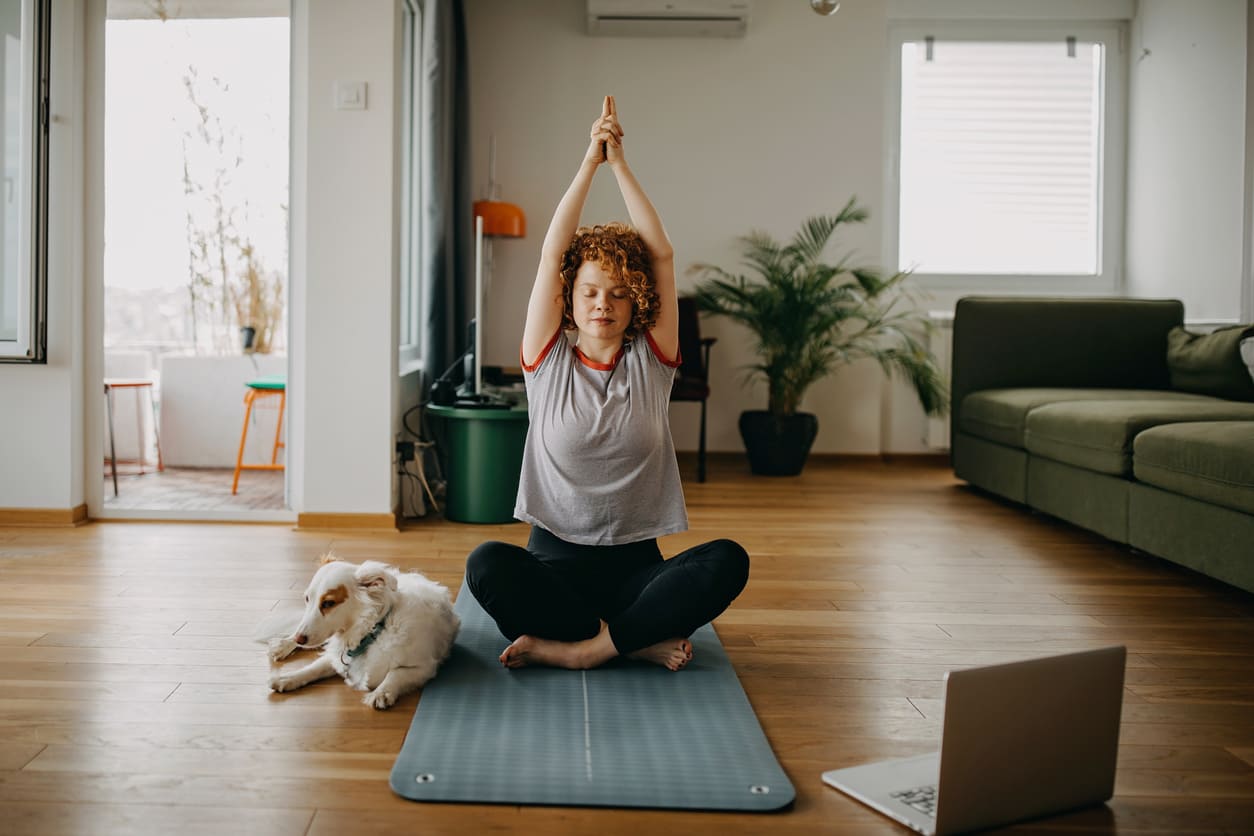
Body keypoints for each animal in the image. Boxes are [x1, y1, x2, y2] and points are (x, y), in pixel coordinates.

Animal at [267, 559, 458, 711]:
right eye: (307, 599)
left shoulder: (425, 668)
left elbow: (395, 674)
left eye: (328, 603)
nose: (300, 638)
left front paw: (381, 693)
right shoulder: (336, 657)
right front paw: (287, 677)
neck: (372, 632)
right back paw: (284, 645)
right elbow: (313, 668)